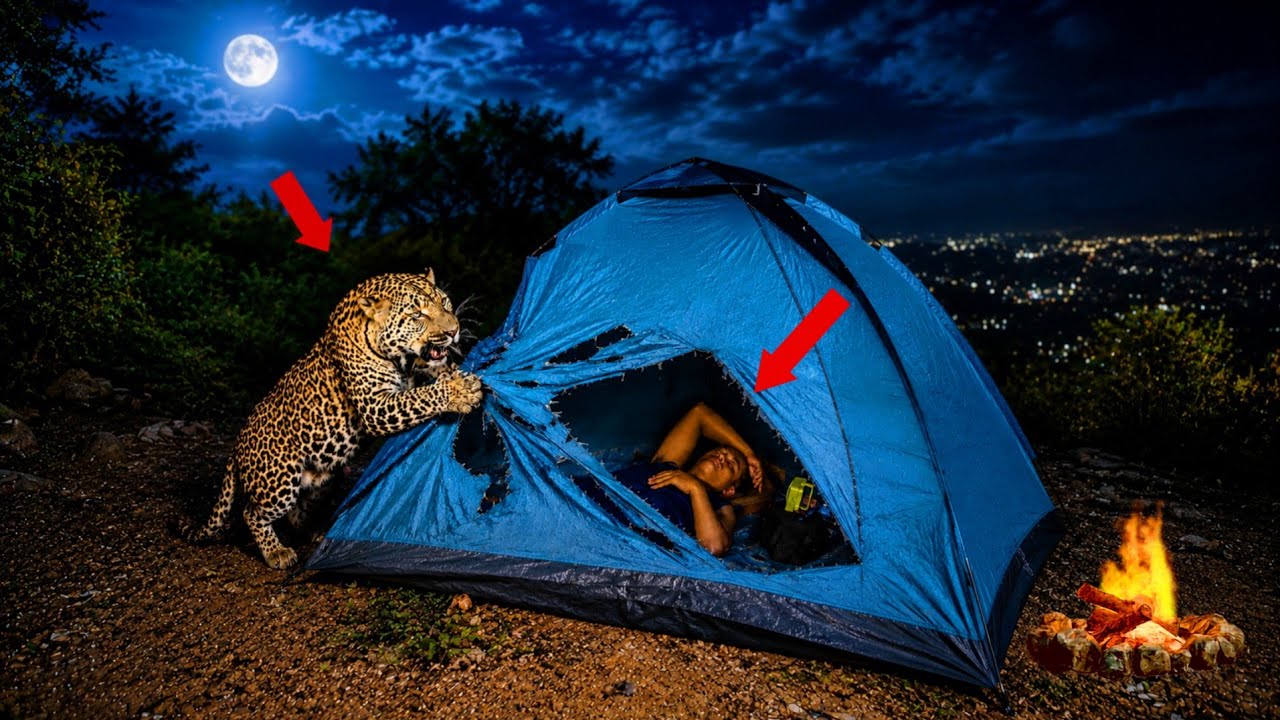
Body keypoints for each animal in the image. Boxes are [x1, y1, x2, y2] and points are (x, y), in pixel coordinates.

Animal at [181, 270, 484, 568]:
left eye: (444, 302)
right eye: (417, 315)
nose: (453, 331)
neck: (399, 359)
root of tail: (237, 447)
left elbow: (431, 372)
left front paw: (452, 374)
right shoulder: (375, 406)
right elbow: (418, 398)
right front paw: (458, 391)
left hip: (323, 478)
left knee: (296, 508)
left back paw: (311, 530)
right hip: (279, 482)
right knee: (251, 512)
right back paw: (276, 552)